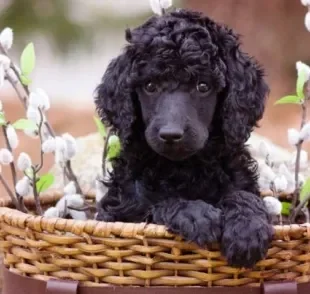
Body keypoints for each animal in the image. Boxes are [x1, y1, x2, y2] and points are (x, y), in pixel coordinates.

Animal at [95, 8, 274, 268]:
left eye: (203, 86)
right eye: (150, 86)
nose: (171, 134)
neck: (185, 168)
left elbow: (244, 195)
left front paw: (247, 229)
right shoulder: (119, 212)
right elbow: (155, 205)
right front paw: (195, 214)